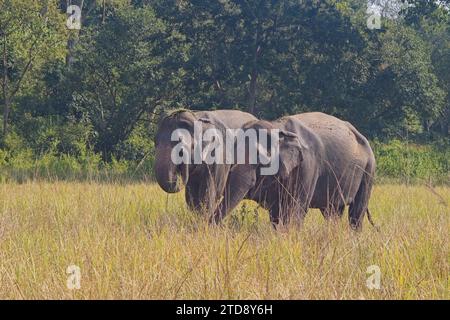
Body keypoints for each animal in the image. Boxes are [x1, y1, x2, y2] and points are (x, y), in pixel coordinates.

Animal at [155, 109, 376, 230]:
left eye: (181, 149)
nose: (208, 228)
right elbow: (276, 212)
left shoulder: (309, 165)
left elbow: (295, 209)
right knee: (332, 212)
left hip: (369, 169)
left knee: (355, 213)